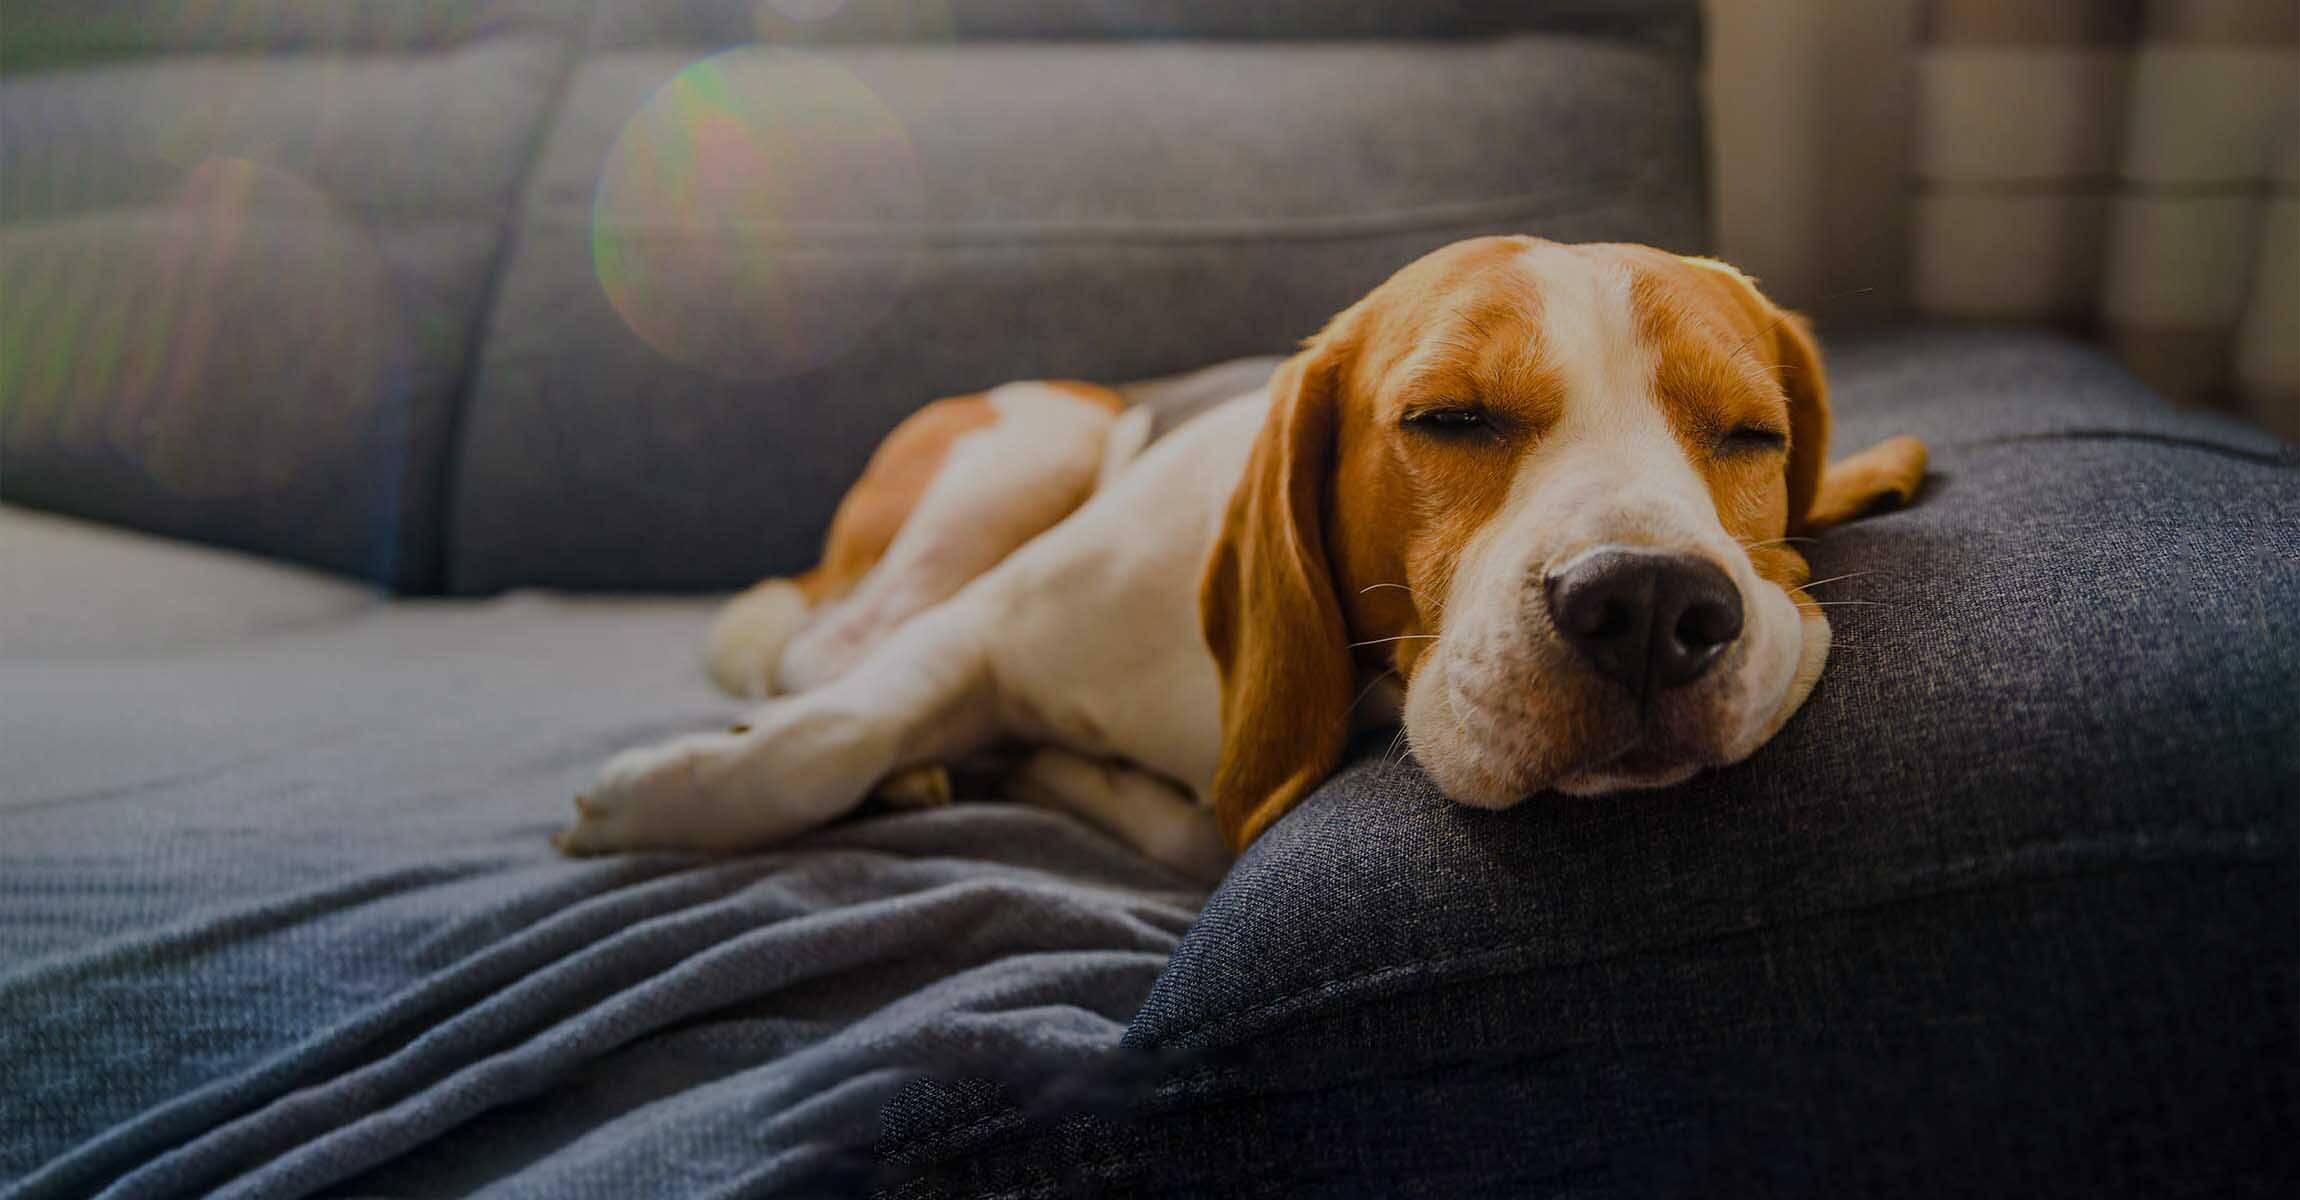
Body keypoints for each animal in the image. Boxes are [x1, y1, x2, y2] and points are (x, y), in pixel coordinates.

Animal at [556, 237, 1922, 878]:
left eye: (1751, 434)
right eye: (1448, 418)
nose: (1644, 603)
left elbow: (1200, 831)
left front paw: (1065, 775)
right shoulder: (980, 628)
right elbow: (830, 733)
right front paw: (669, 795)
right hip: (1023, 449)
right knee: (824, 653)